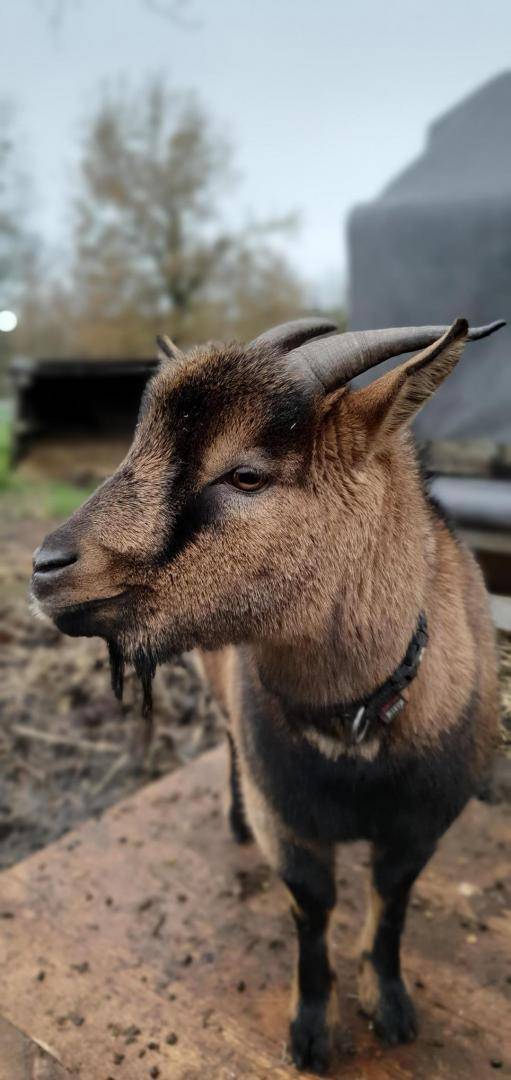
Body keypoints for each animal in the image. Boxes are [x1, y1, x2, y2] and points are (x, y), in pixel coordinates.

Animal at [32, 315, 504, 1073]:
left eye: (246, 474)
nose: (46, 567)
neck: (357, 731)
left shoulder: (422, 824)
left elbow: (391, 902)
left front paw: (390, 1005)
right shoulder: (284, 818)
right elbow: (312, 911)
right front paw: (311, 1031)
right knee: (228, 743)